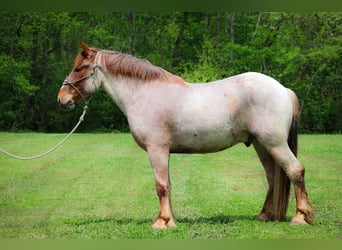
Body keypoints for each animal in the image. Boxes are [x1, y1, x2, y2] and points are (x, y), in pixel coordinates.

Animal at [57, 40, 314, 229]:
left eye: (79, 68)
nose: (62, 99)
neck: (143, 93)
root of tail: (283, 90)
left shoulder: (157, 149)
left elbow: (161, 185)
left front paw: (162, 223)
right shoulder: (163, 151)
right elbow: (167, 185)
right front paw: (169, 220)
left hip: (275, 144)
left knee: (295, 171)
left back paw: (301, 217)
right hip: (262, 145)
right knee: (273, 177)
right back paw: (265, 215)